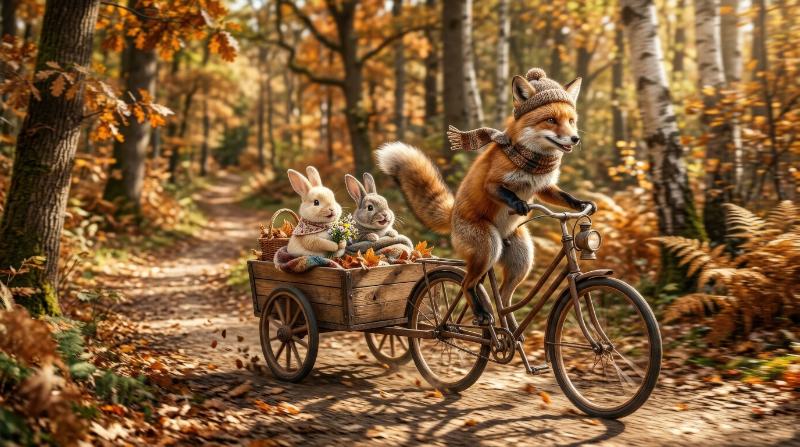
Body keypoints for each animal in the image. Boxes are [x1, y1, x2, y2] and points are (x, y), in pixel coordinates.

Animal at [376, 68, 595, 326]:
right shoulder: (491, 183)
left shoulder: (544, 187)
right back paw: (478, 316)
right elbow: (504, 192)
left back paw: (509, 327)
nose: (575, 139)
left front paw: (582, 204)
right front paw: (519, 204)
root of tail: (452, 216)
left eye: (571, 121)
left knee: (502, 295)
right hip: (488, 247)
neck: (533, 162)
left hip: (521, 260)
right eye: (551, 120)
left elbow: (564, 197)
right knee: (467, 284)